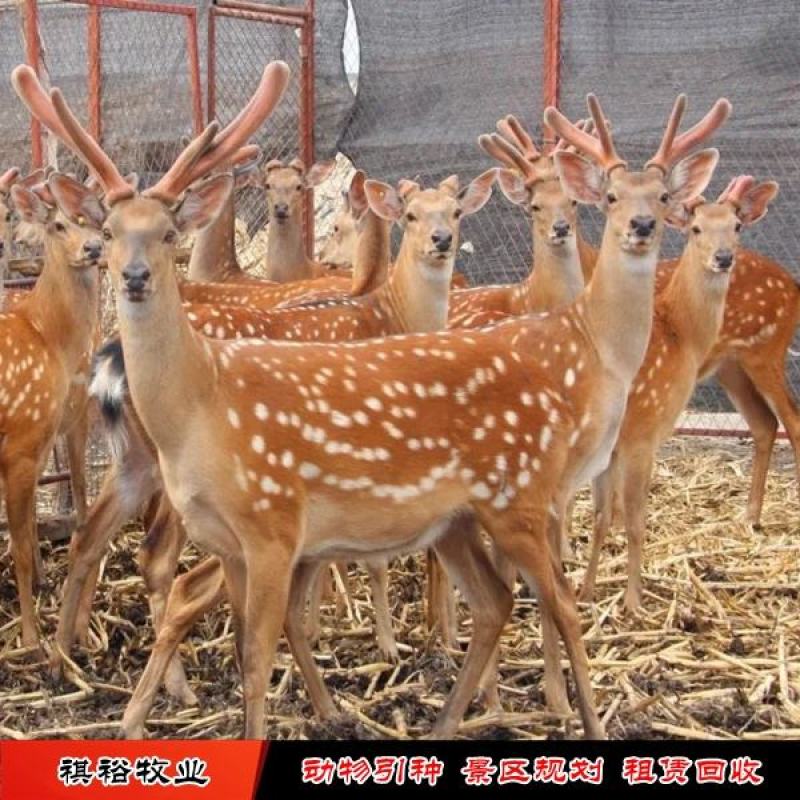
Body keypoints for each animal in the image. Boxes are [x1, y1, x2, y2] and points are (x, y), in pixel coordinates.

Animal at [579, 175, 779, 610]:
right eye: (696, 229)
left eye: (737, 226)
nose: (723, 257)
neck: (682, 338)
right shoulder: (643, 432)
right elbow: (635, 521)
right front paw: (633, 602)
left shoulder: (613, 448)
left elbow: (602, 518)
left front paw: (587, 591)